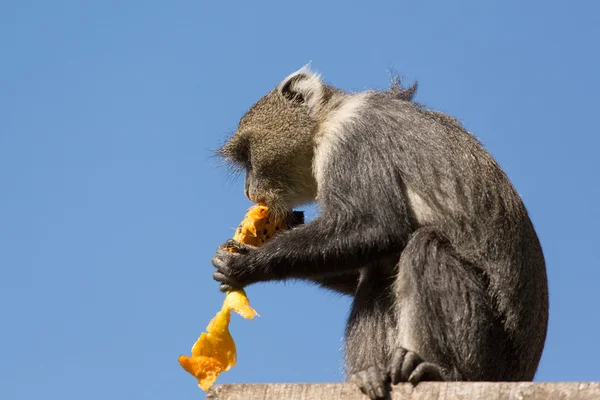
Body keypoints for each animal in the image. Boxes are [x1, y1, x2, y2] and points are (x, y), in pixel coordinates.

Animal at [211, 65, 548, 400]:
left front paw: (248, 263)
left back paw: (435, 370)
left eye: (248, 155)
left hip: (485, 353)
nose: (248, 190)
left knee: (425, 247)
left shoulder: (352, 141)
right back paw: (371, 373)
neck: (329, 117)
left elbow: (380, 229)